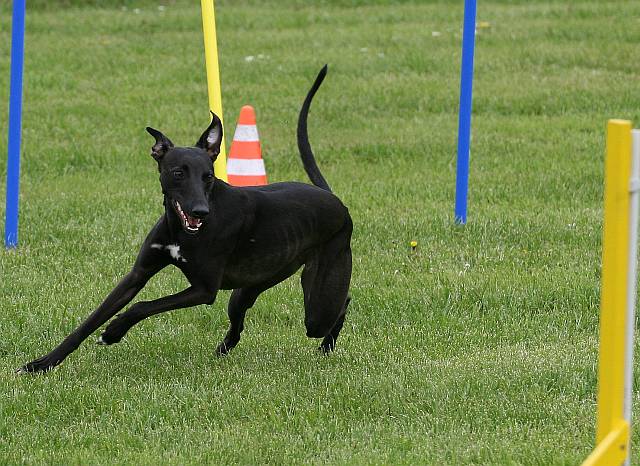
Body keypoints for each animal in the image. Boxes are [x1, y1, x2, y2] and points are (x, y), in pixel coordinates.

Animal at [18, 65, 352, 373]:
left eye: (208, 177)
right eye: (178, 173)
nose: (200, 212)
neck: (182, 231)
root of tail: (334, 199)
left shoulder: (203, 290)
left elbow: (142, 305)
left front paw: (113, 332)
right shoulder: (138, 274)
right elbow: (90, 320)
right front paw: (43, 363)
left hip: (318, 302)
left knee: (339, 306)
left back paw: (327, 346)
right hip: (250, 288)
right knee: (239, 321)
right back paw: (223, 349)